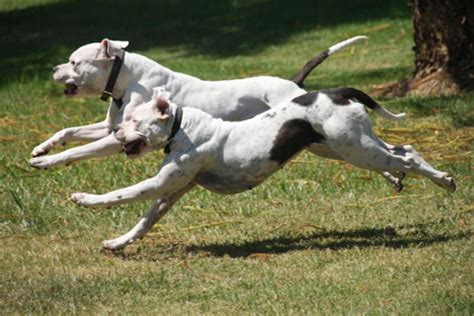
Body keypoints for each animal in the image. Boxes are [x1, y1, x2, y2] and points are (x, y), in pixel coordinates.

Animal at [27, 37, 408, 190]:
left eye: (74, 62)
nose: (53, 68)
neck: (127, 77)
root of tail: (294, 84)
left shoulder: (115, 137)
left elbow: (79, 150)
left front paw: (47, 162)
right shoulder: (110, 127)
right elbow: (67, 132)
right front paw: (42, 148)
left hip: (319, 142)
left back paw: (393, 172)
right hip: (319, 142)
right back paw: (394, 174)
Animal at [72, 87, 458, 251]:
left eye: (135, 121)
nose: (116, 133)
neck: (182, 127)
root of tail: (338, 92)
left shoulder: (157, 184)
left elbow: (120, 195)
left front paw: (84, 199)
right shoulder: (171, 192)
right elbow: (144, 223)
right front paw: (116, 243)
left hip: (357, 150)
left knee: (406, 158)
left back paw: (445, 181)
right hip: (355, 145)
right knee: (405, 150)